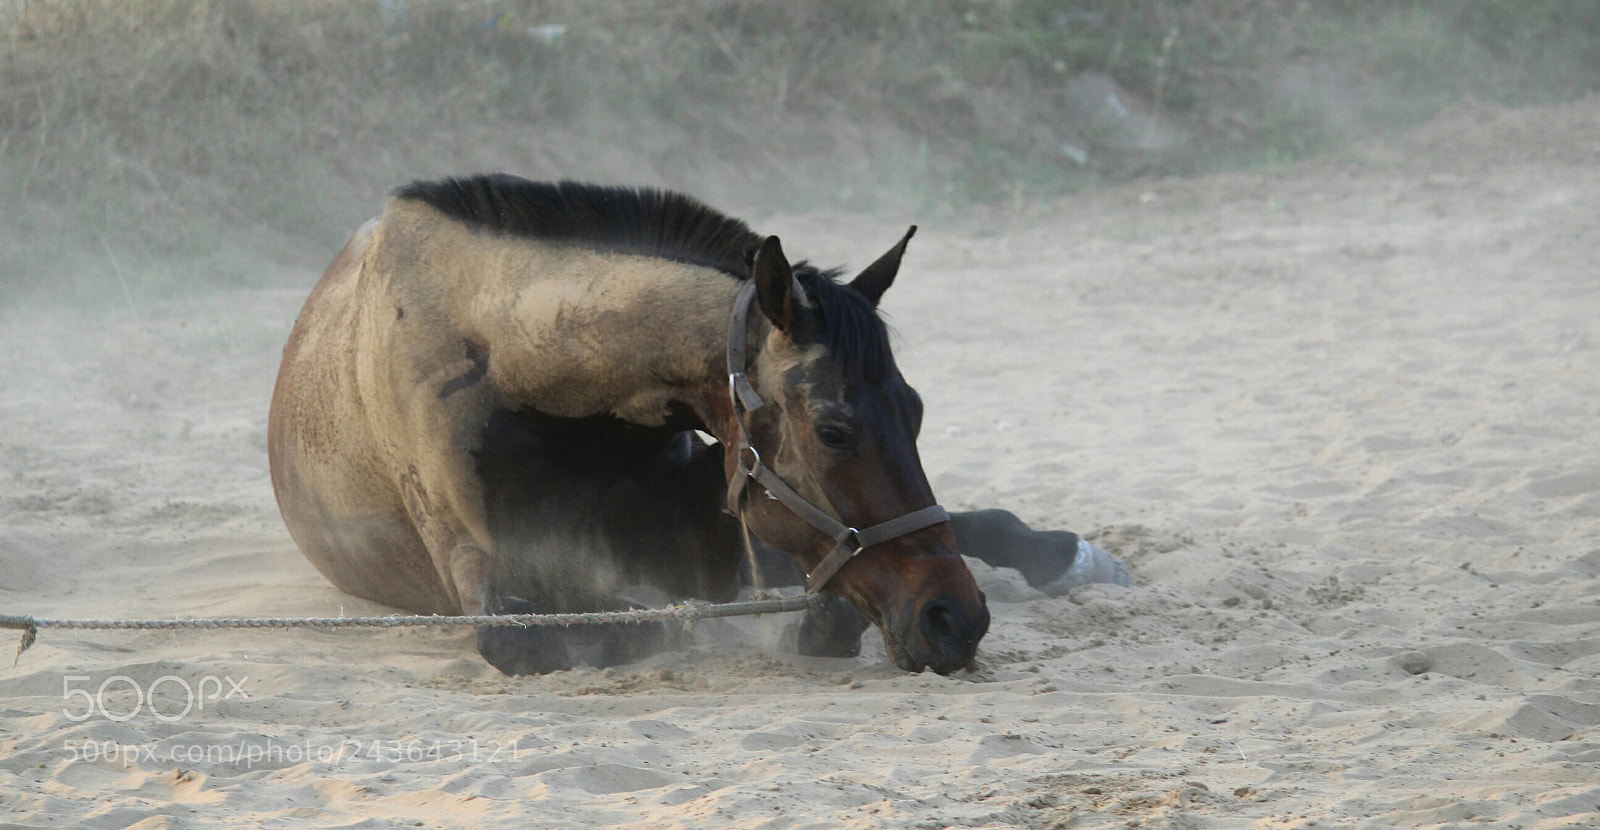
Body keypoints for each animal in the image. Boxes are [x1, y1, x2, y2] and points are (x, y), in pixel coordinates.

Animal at [268, 175, 993, 675]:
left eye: (917, 411)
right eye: (832, 430)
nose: (956, 617)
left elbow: (824, 611)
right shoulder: (481, 568)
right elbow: (596, 624)